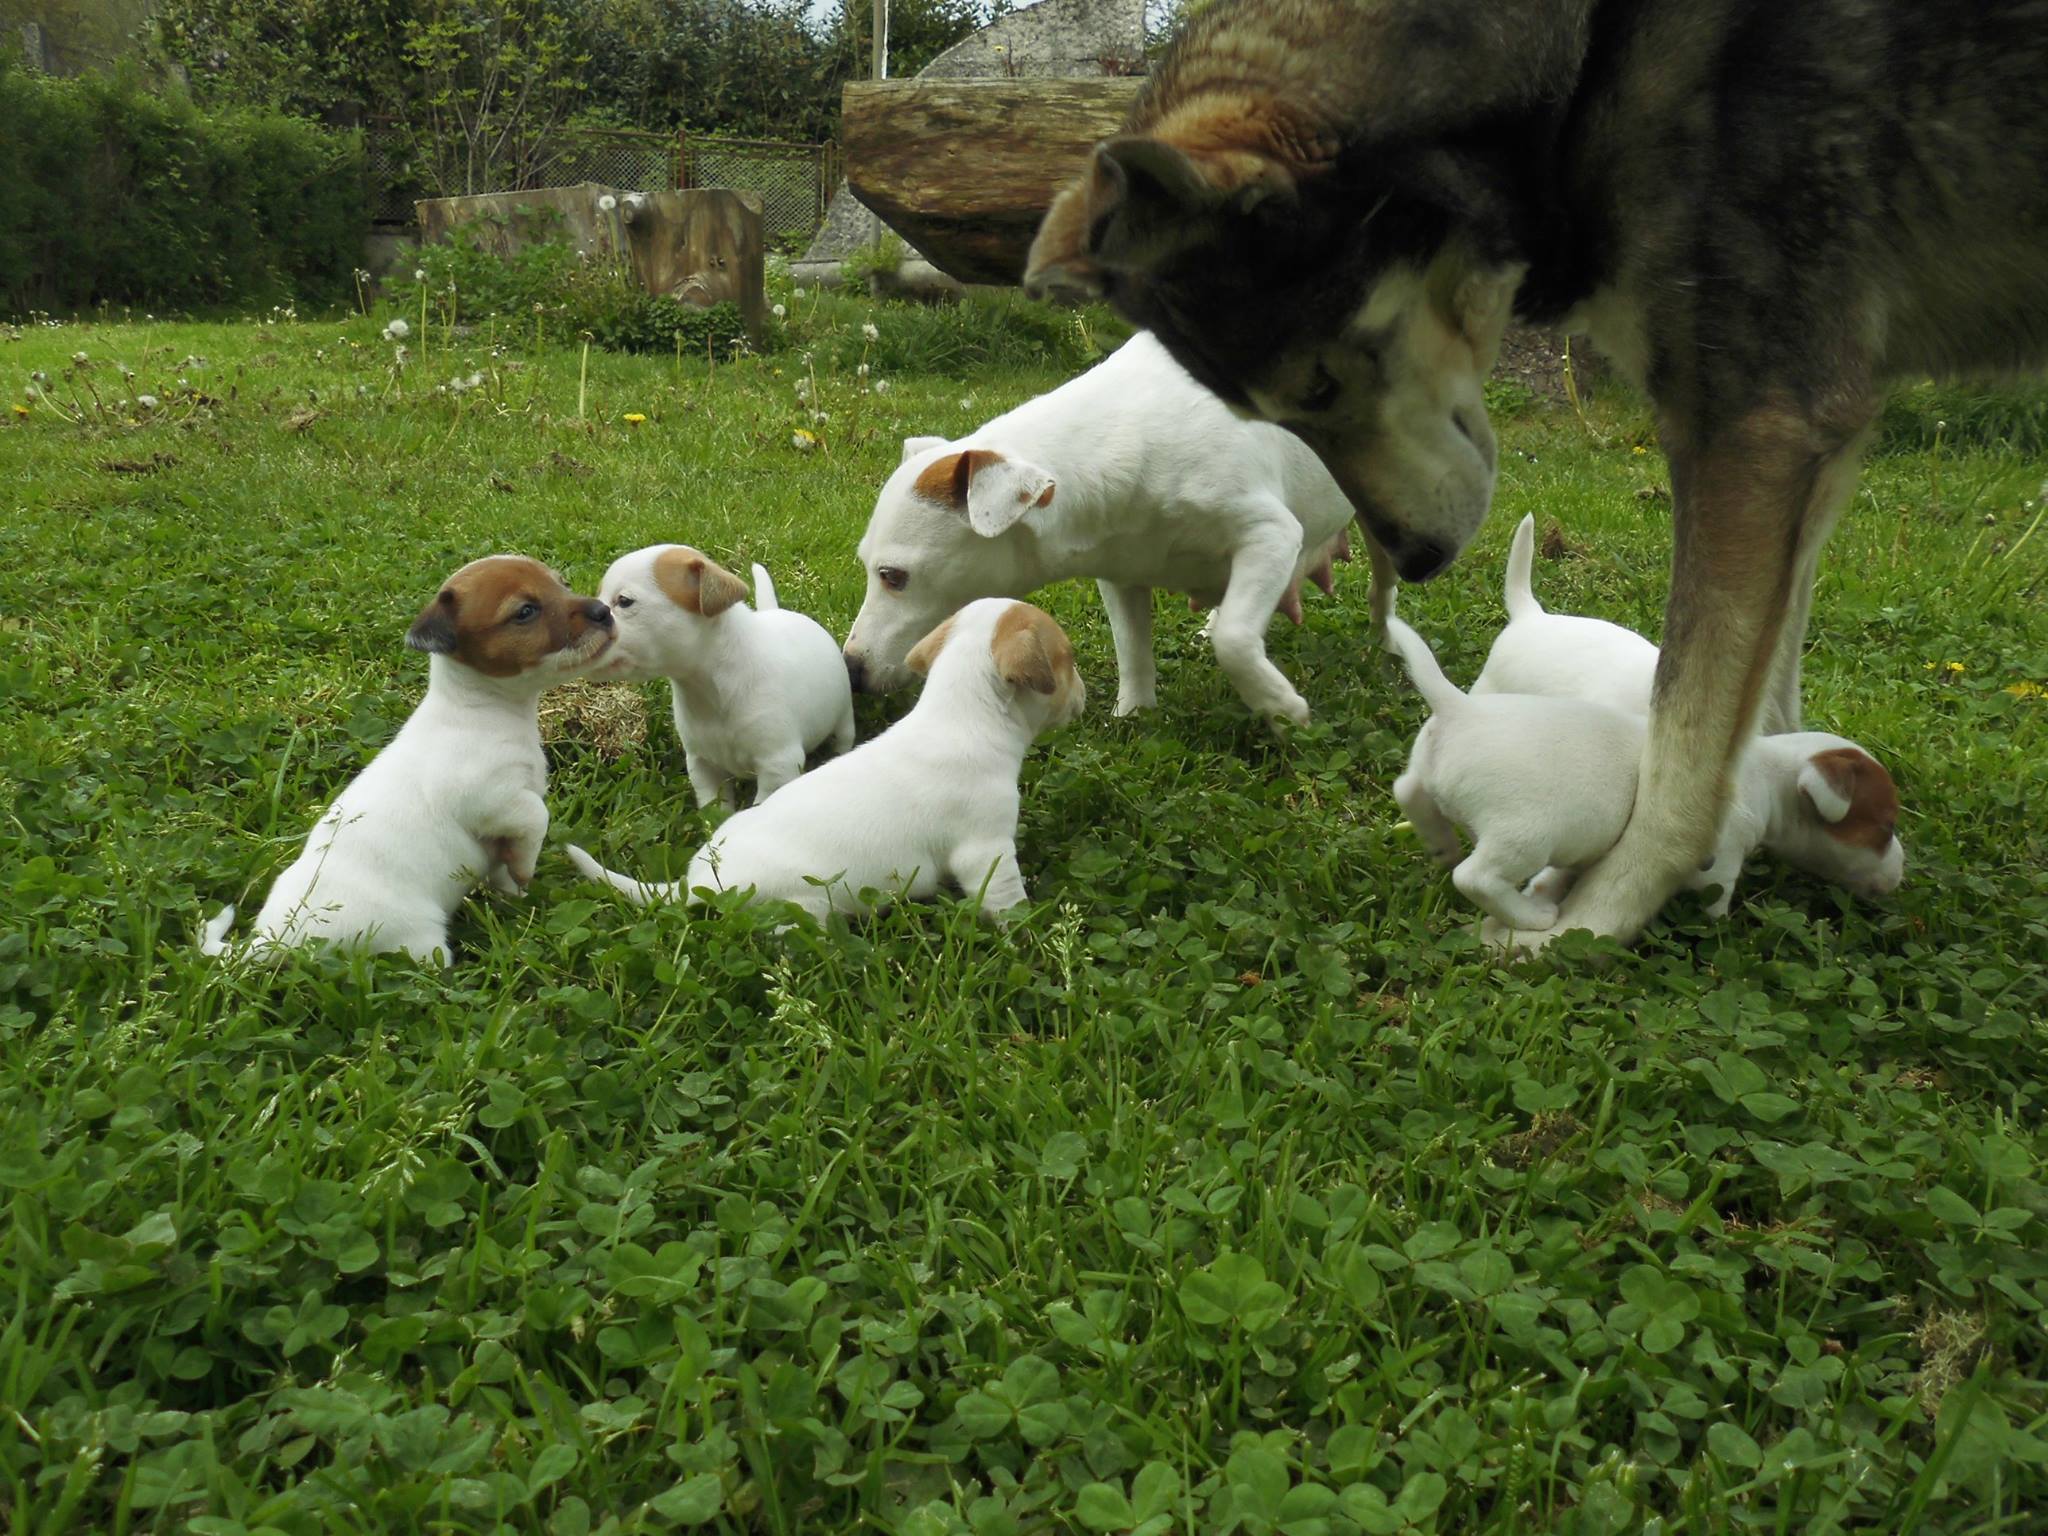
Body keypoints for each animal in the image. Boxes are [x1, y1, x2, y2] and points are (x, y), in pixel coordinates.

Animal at [200, 552, 618, 962]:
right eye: (526, 611)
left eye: (562, 583)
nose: (605, 611)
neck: (482, 710)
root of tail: (274, 938)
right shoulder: (492, 799)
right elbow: (537, 816)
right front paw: (526, 869)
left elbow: (508, 859)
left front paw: (515, 893)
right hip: (419, 938)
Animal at [573, 593, 1089, 921]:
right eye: (1068, 659)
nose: (1082, 696)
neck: (963, 713)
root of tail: (698, 880)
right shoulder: (986, 851)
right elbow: (1007, 903)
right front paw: (1027, 934)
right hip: (804, 903)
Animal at [593, 544, 856, 811]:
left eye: (624, 601)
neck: (709, 690)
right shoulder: (702, 765)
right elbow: (714, 807)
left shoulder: (778, 764)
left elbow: (761, 804)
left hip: (844, 715)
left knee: (844, 736)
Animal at [839, 327, 1400, 724]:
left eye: (893, 576)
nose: (852, 669)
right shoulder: (1119, 569)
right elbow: (1132, 647)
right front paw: (1134, 712)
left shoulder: (1271, 535)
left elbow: (1237, 642)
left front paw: (1279, 706)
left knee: (1381, 587)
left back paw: (1387, 642)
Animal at [1032, 0, 2048, 950]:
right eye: (1277, 406)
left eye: (1317, 385)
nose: (1421, 555)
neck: (1583, 62)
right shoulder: (1756, 429)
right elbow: (1688, 765)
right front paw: (1602, 920)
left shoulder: (1782, 440)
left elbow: (1738, 699)